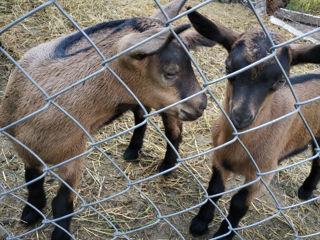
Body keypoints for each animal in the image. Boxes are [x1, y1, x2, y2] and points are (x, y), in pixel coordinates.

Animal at [0, 0, 215, 239]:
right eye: (170, 73)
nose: (201, 104)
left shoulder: (75, 155)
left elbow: (62, 204)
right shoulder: (23, 148)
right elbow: (31, 179)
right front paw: (31, 212)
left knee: (173, 131)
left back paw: (167, 165)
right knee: (142, 116)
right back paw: (133, 150)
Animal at [188, 8, 320, 238]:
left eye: (281, 80)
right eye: (228, 67)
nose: (241, 116)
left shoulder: (263, 174)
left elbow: (239, 204)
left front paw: (224, 234)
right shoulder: (219, 158)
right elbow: (215, 189)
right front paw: (200, 222)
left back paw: (305, 190)